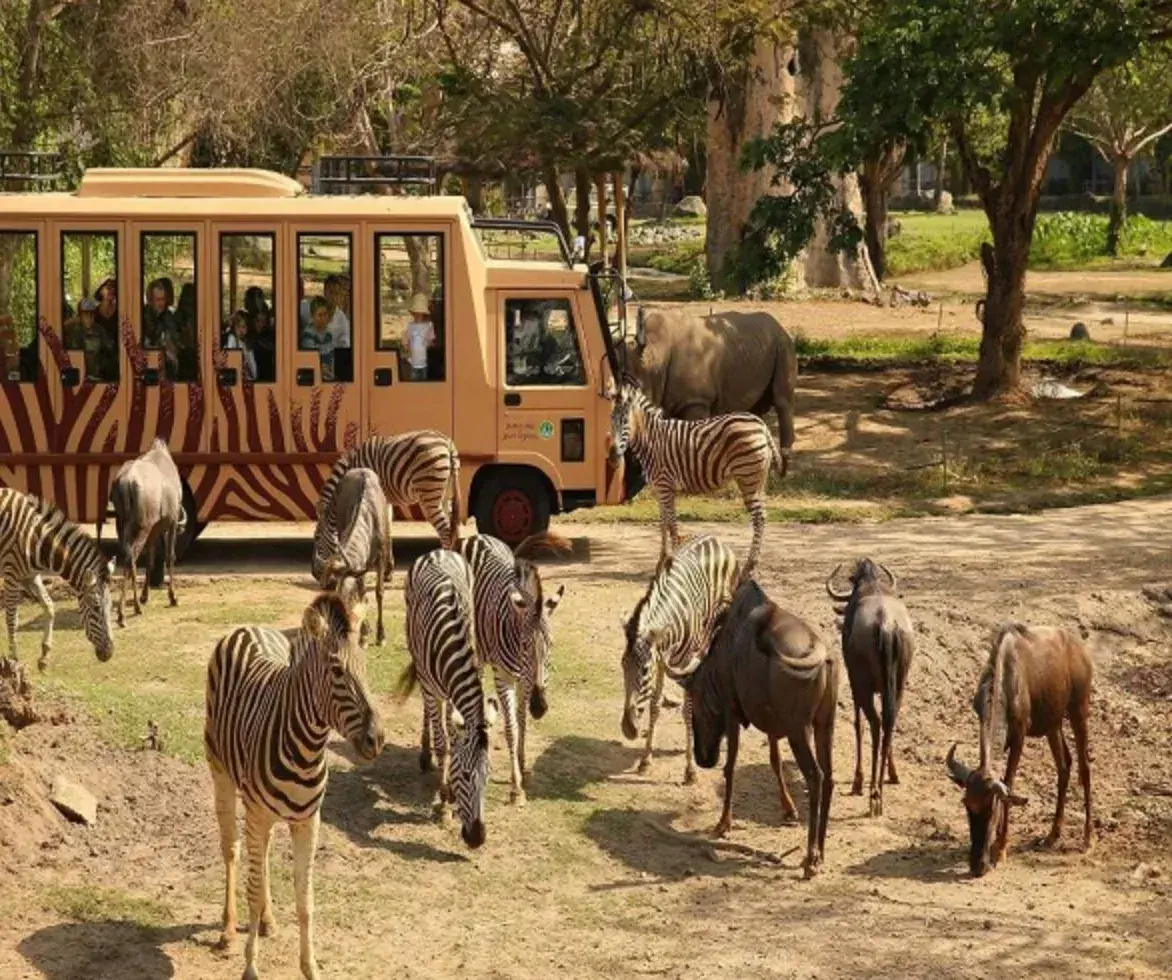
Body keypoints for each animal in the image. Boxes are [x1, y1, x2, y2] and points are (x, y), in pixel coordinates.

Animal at [622, 308, 796, 456]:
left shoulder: (696, 401)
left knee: (782, 401)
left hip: (783, 344)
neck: (655, 356)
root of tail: (780, 327)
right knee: (756, 409)